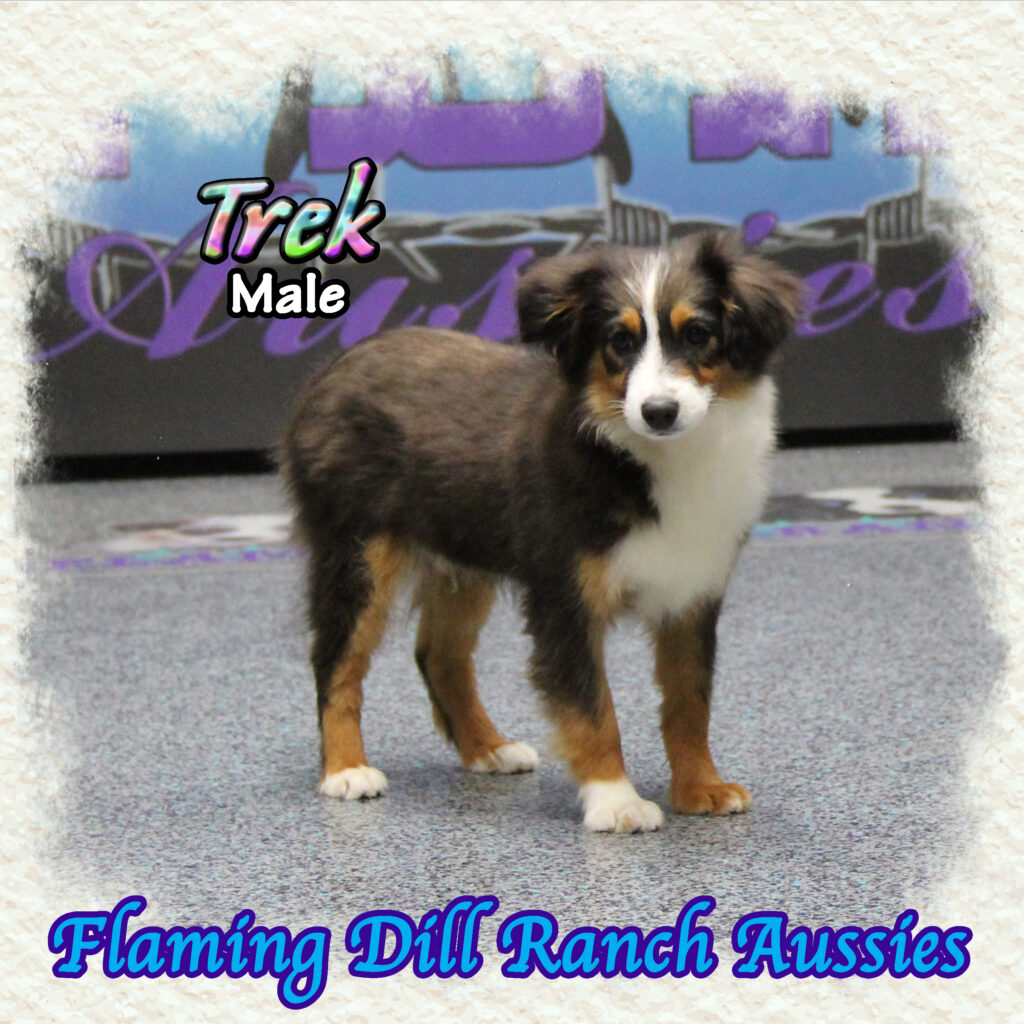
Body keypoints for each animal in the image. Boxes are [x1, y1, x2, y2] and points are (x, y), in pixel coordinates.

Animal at [280, 230, 803, 832]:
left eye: (698, 334)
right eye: (619, 340)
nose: (659, 411)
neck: (645, 457)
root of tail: (331, 369)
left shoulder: (692, 592)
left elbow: (689, 701)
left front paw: (701, 788)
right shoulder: (564, 594)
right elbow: (592, 707)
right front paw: (616, 801)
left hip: (462, 559)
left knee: (438, 656)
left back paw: (488, 748)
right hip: (357, 550)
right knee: (336, 660)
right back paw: (346, 770)